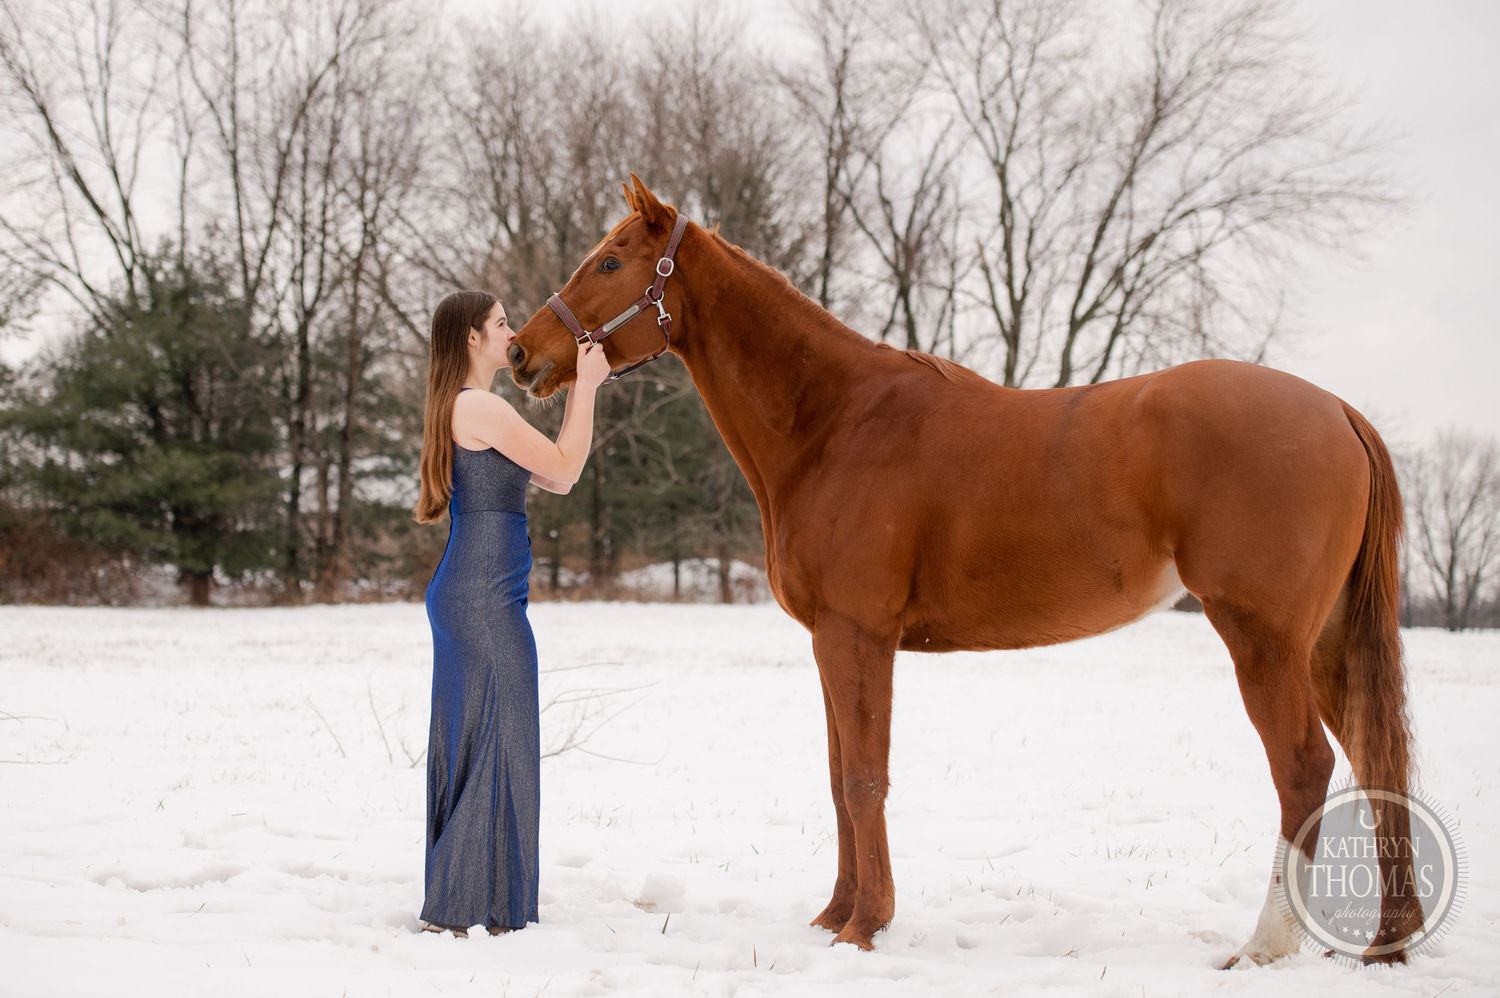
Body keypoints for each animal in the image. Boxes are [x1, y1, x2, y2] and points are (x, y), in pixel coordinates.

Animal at [507, 175, 1422, 965]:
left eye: (611, 261)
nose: (520, 353)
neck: (836, 421)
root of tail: (1338, 411)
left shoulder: (858, 635)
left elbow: (863, 778)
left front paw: (865, 927)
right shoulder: (829, 642)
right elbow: (838, 780)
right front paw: (834, 916)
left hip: (1262, 638)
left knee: (1303, 767)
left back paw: (1264, 946)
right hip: (1324, 643)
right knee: (1378, 761)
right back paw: (1388, 941)